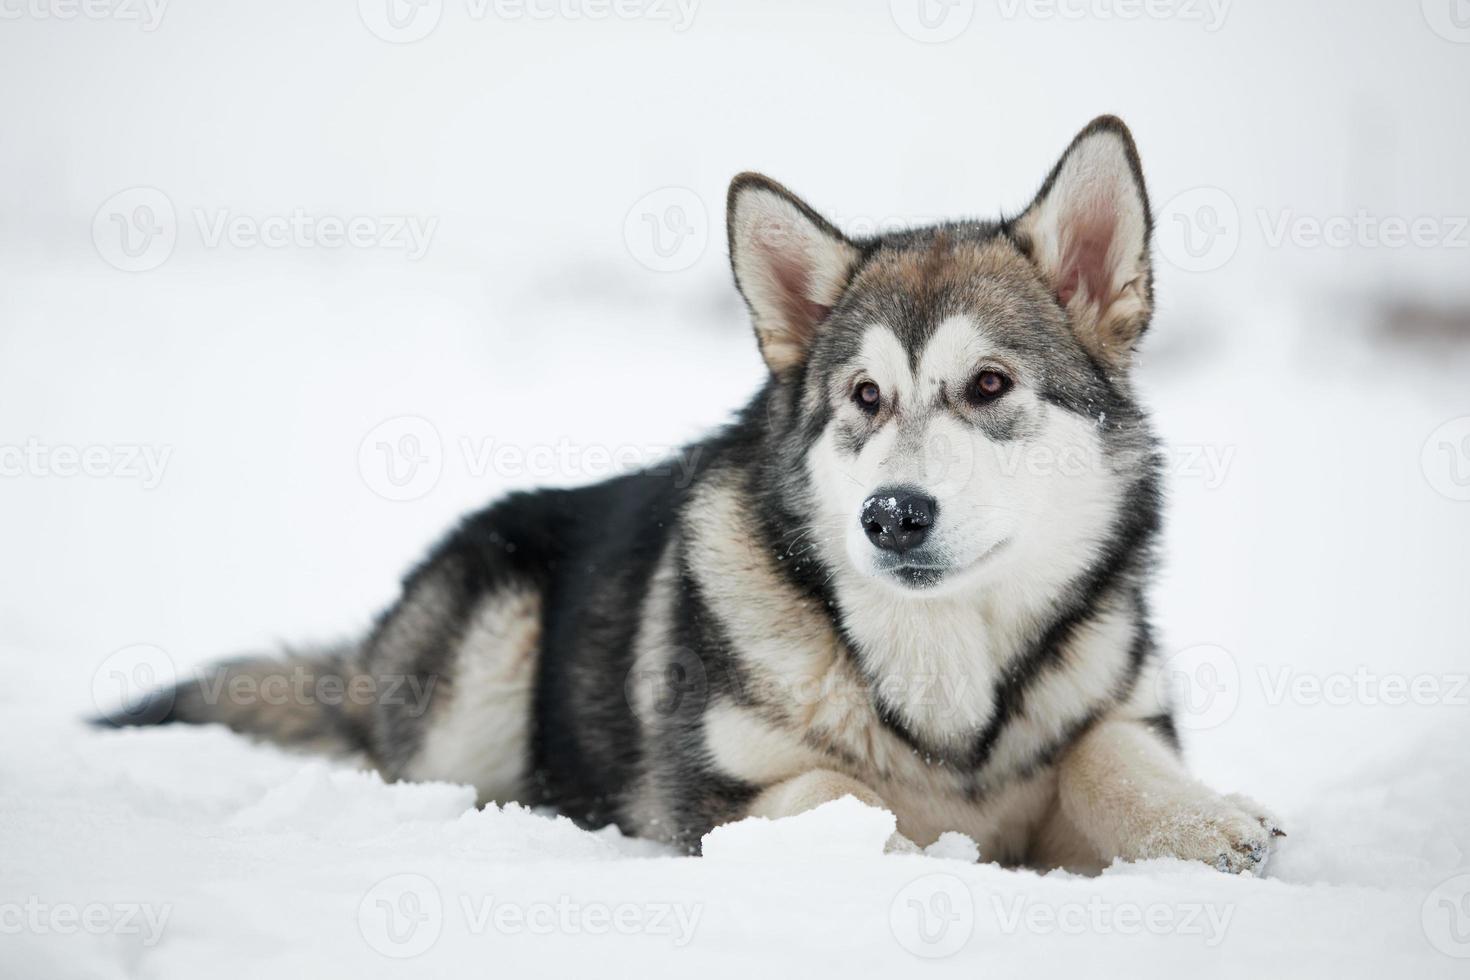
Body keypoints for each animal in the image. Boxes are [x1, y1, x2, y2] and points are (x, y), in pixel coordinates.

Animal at [117, 119, 1287, 875]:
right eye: (865, 397)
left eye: (991, 385)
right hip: (488, 645)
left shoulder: (1113, 706)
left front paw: (1206, 821)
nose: (892, 515)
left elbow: (1107, 753)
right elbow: (849, 794)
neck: (940, 684)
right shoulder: (718, 797)